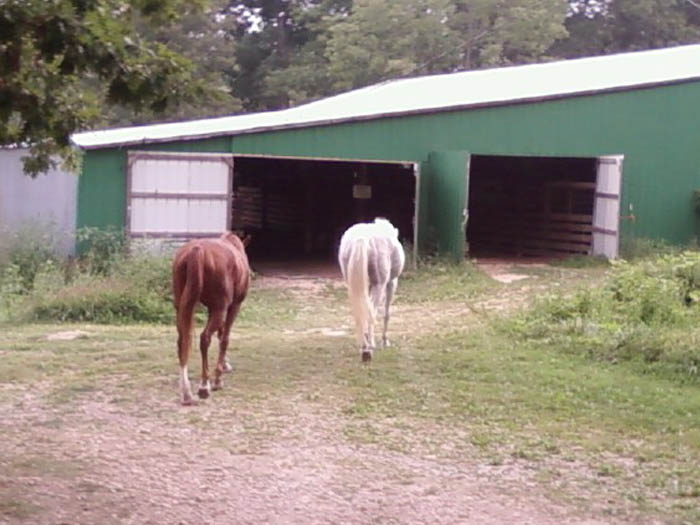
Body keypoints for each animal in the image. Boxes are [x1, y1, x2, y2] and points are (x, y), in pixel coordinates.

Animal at [172, 232, 251, 405]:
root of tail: (196, 250)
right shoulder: (233, 306)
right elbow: (225, 338)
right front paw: (218, 378)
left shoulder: (212, 309)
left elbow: (221, 335)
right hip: (220, 309)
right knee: (205, 338)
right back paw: (204, 387)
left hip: (181, 307)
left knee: (182, 341)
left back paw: (186, 393)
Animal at [338, 218, 405, 362]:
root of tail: (362, 238)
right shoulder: (391, 282)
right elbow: (386, 313)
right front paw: (385, 341)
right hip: (379, 285)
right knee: (371, 312)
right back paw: (368, 348)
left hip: (354, 284)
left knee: (360, 311)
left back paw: (364, 346)